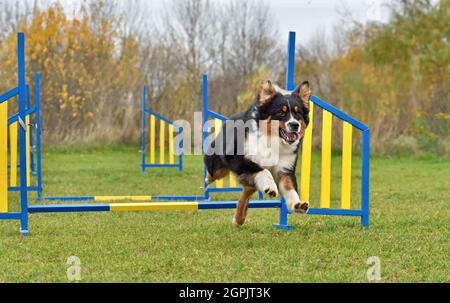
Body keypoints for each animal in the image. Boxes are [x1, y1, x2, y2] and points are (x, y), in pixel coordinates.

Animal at [206, 79, 312, 227]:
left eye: (298, 113)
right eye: (281, 112)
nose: (295, 125)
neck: (273, 140)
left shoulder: (284, 169)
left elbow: (290, 187)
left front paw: (297, 204)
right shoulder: (239, 160)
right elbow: (264, 170)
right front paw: (271, 187)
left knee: (246, 192)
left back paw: (239, 219)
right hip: (218, 166)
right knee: (213, 171)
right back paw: (208, 180)